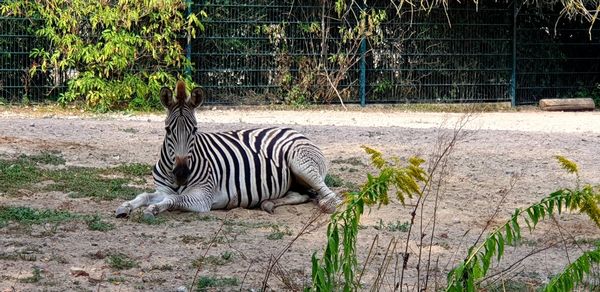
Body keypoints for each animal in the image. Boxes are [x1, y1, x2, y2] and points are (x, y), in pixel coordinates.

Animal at [116, 81, 342, 218]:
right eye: (167, 130)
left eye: (195, 130)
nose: (181, 174)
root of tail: (294, 130)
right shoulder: (162, 190)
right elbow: (144, 196)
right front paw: (125, 207)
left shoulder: (203, 197)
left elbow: (173, 199)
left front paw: (153, 209)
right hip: (295, 181)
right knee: (302, 195)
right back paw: (268, 203)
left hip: (301, 164)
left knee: (330, 195)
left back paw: (327, 204)